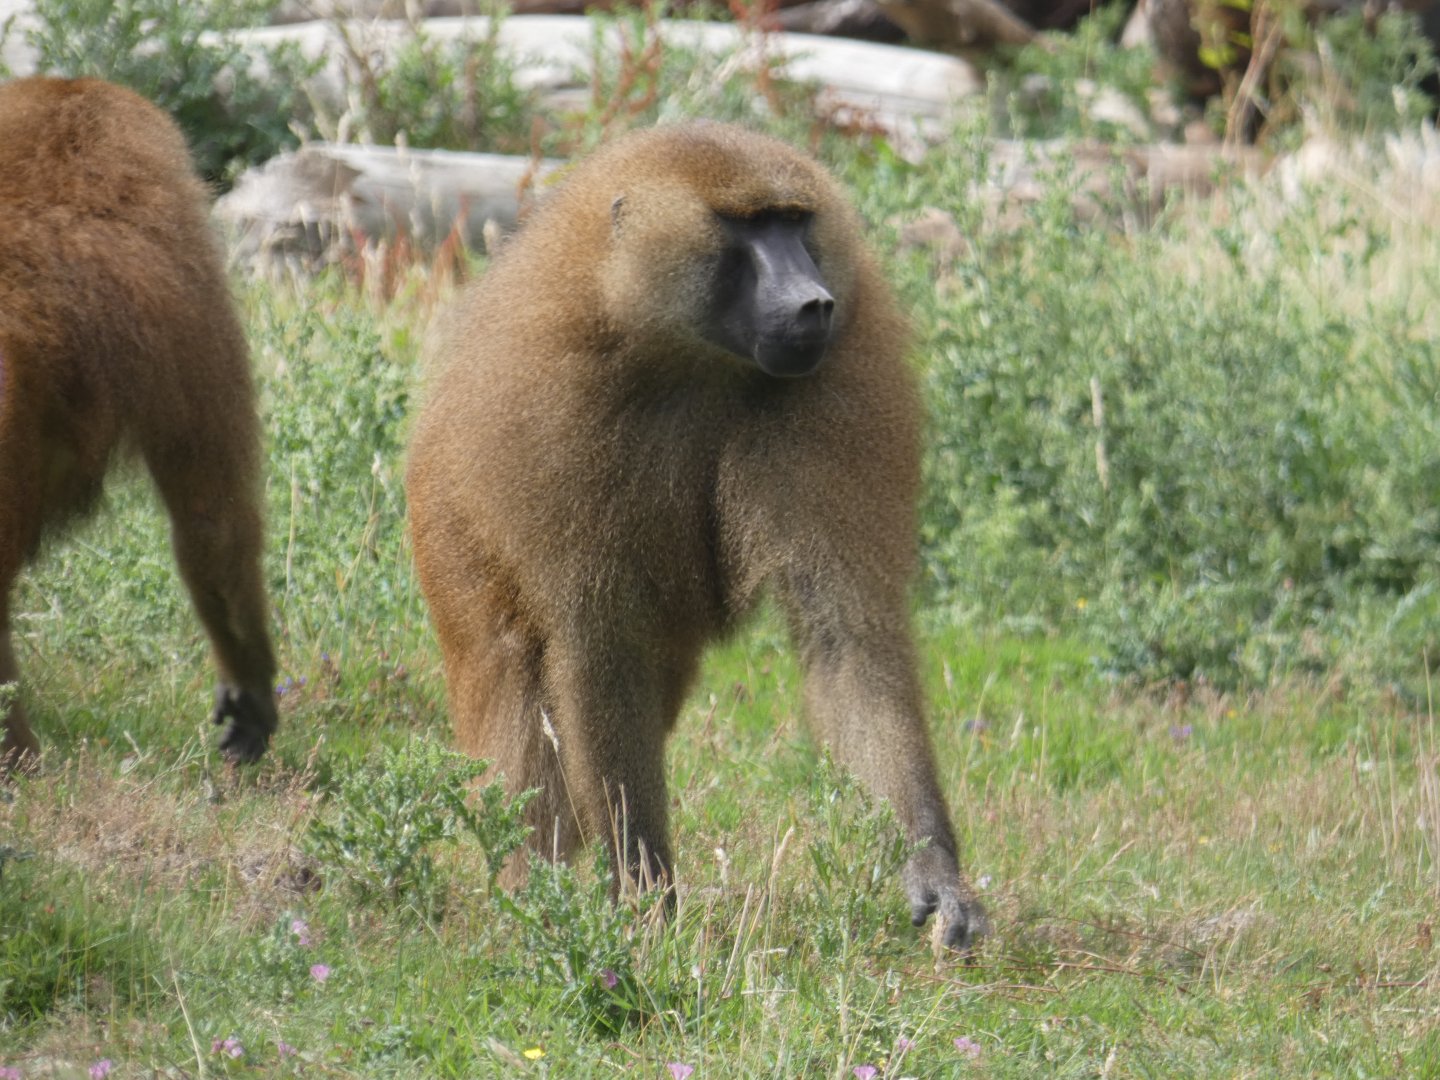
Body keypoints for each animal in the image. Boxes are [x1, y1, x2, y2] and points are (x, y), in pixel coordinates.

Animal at [406, 122, 984, 948]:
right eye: (746, 226)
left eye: (794, 222)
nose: (814, 303)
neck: (690, 354)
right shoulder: (555, 407)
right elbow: (594, 648)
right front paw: (644, 902)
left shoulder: (836, 381)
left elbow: (845, 631)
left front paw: (932, 871)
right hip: (451, 546)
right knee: (520, 681)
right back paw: (525, 897)